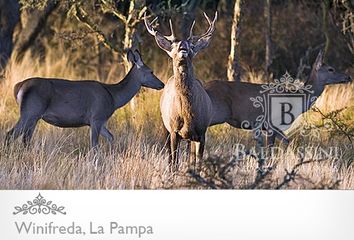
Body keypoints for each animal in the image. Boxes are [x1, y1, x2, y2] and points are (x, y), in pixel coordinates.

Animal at [4, 49, 165, 148]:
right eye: (151, 71)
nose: (162, 84)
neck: (113, 97)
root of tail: (19, 86)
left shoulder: (99, 121)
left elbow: (111, 137)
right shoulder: (96, 117)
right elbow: (94, 145)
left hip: (34, 116)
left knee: (25, 138)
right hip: (30, 111)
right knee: (10, 134)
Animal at [143, 11, 217, 169]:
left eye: (191, 47)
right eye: (174, 47)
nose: (183, 48)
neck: (187, 115)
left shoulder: (202, 131)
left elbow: (198, 163)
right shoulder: (173, 130)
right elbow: (174, 162)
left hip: (190, 138)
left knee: (190, 158)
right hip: (164, 126)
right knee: (170, 157)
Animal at [205, 50, 352, 147]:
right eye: (331, 69)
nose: (348, 77)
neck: (295, 101)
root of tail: (205, 86)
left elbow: (287, 141)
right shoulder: (271, 123)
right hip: (218, 112)